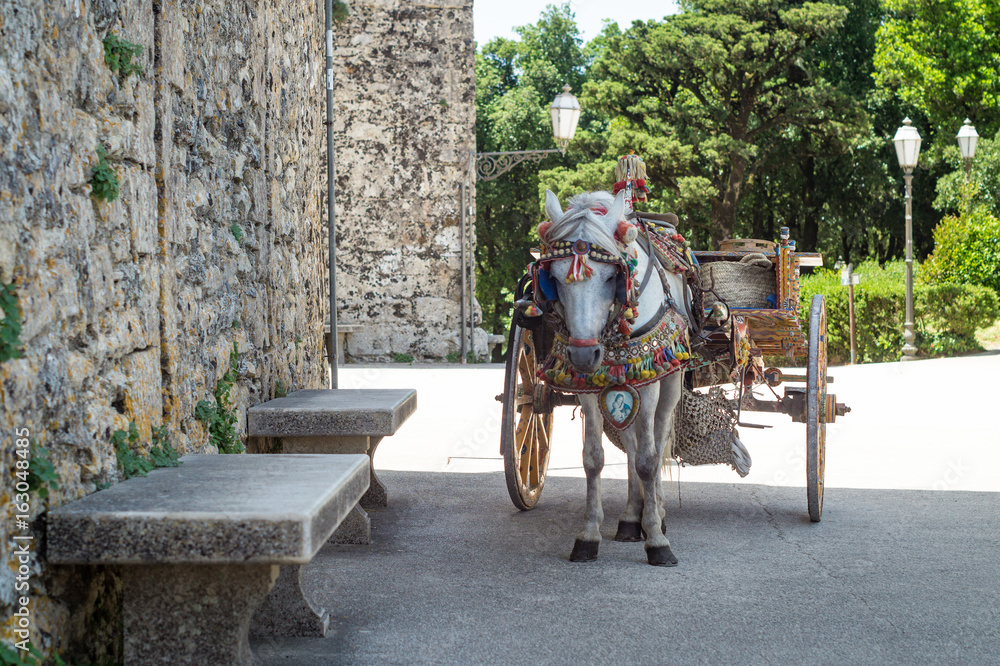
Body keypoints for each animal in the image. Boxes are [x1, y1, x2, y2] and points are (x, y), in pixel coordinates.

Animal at [534, 188, 698, 567]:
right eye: (554, 278)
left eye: (611, 277)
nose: (583, 355)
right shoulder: (589, 387)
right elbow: (593, 458)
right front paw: (589, 534)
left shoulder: (649, 381)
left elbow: (649, 460)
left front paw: (657, 541)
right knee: (632, 442)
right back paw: (630, 517)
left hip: (669, 382)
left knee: (657, 436)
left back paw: (657, 513)